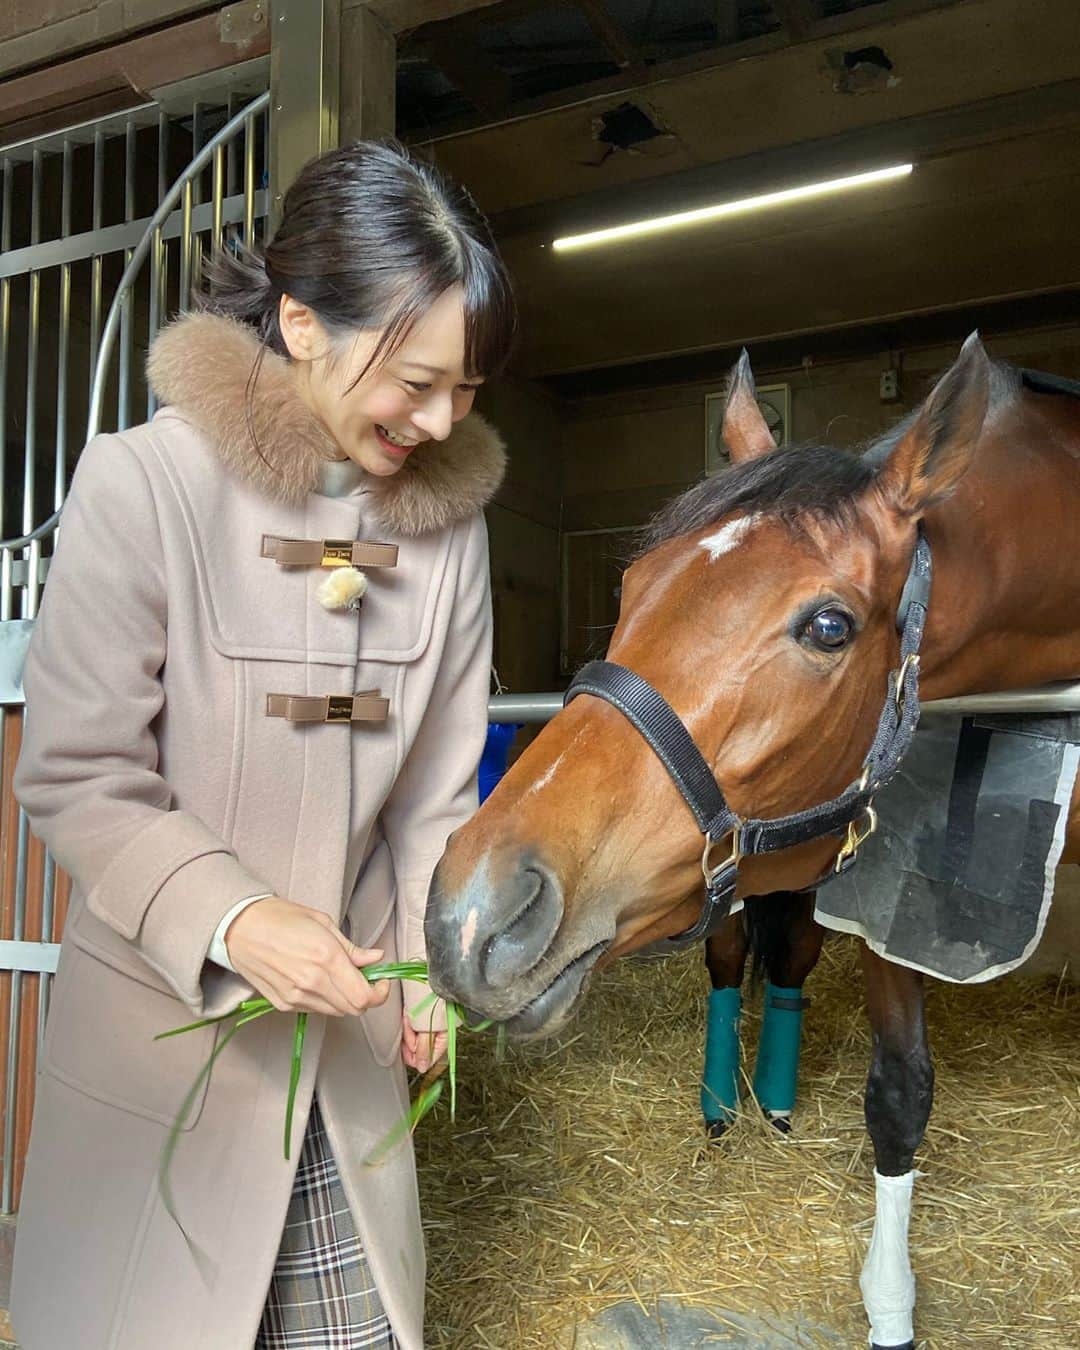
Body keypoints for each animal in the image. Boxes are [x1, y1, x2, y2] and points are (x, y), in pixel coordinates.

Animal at [423, 332, 1080, 1344]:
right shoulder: (884, 877)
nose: (474, 912)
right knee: (738, 957)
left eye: (829, 626)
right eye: (634, 586)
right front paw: (890, 1308)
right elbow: (899, 1093)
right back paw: (727, 1107)